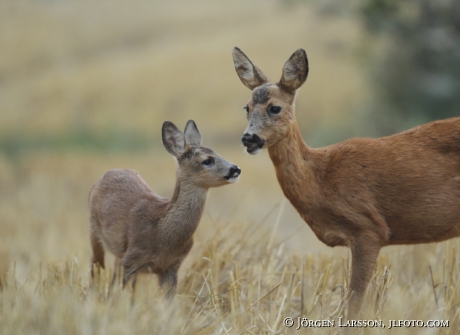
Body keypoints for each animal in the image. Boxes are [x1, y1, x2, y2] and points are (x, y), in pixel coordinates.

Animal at [88, 119, 243, 298]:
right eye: (207, 160)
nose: (236, 169)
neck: (160, 230)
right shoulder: (129, 260)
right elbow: (112, 295)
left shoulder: (171, 268)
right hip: (94, 232)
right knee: (95, 267)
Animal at [232, 46, 460, 318]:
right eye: (246, 107)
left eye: (274, 107)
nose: (249, 138)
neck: (321, 179)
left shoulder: (369, 228)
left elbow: (354, 301)